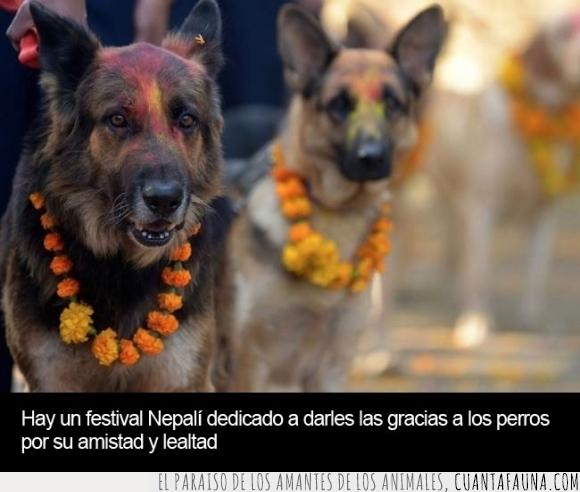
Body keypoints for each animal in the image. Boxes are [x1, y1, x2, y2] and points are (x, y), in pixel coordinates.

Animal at [0, 0, 230, 392]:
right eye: (118, 119)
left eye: (186, 120)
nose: (165, 200)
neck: (121, 264)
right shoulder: (53, 379)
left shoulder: (181, 377)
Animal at [226, 4, 446, 391]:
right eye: (339, 105)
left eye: (392, 104)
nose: (371, 158)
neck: (335, 212)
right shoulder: (248, 365)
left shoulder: (331, 366)